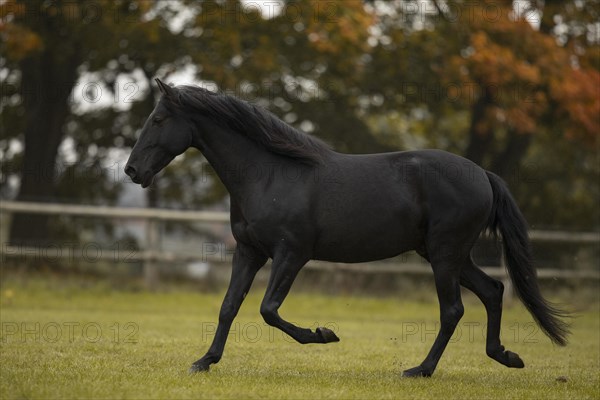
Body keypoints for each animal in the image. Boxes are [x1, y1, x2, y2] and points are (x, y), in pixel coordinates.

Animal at [125, 79, 568, 378]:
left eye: (159, 119)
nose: (131, 170)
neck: (270, 173)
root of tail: (483, 176)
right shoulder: (249, 252)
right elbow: (229, 306)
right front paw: (204, 361)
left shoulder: (292, 253)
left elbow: (268, 309)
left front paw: (324, 335)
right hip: (447, 254)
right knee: (493, 291)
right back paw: (506, 356)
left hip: (445, 254)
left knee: (454, 310)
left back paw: (420, 370)